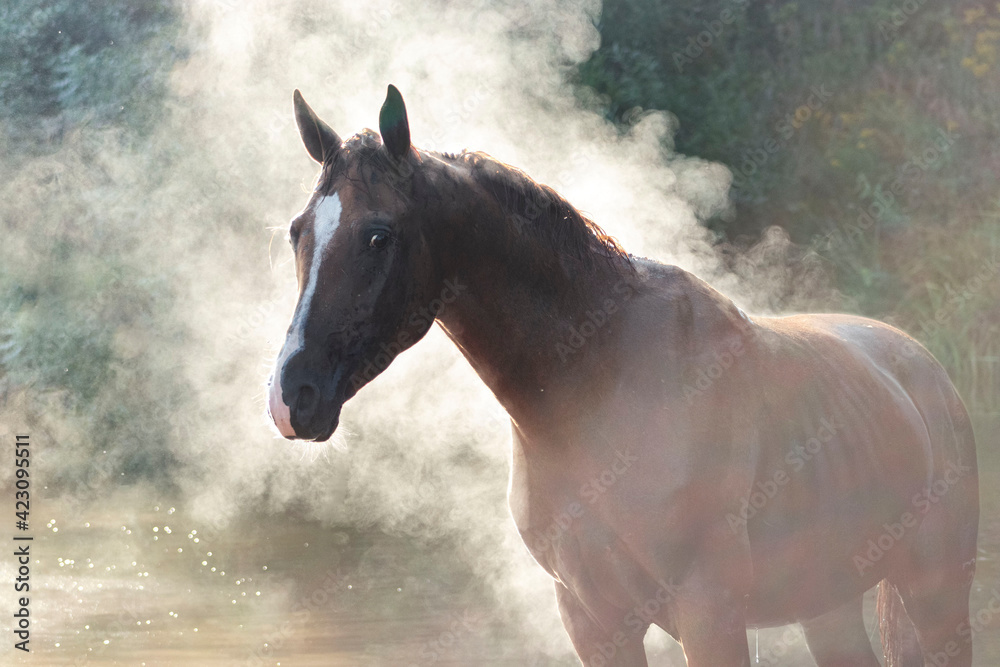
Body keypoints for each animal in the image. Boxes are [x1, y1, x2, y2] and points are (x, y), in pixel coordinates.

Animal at [266, 85, 979, 666]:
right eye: (298, 231)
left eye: (378, 235)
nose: (291, 398)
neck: (596, 386)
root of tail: (921, 368)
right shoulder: (593, 620)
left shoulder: (711, 614)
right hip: (826, 602)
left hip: (936, 592)